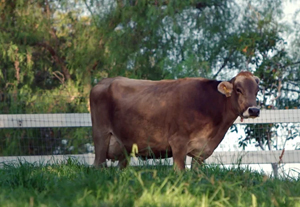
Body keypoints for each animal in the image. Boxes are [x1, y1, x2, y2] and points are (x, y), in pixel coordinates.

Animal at [89, 71, 260, 170]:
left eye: (257, 90)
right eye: (238, 90)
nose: (254, 110)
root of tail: (104, 82)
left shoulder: (200, 152)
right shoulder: (178, 143)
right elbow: (180, 172)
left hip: (124, 145)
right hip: (101, 136)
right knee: (98, 165)